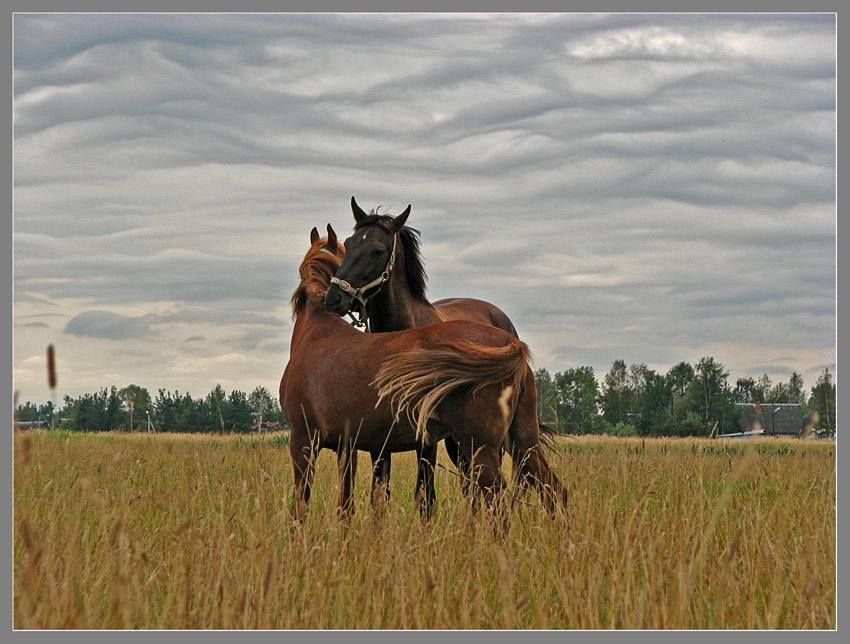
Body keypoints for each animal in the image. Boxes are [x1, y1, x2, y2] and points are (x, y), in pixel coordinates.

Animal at [280, 225, 566, 522]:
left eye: (375, 251)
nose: (338, 298)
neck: (318, 329)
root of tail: (510, 342)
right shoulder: (349, 447)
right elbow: (348, 505)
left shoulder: (303, 442)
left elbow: (301, 506)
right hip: (521, 440)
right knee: (552, 489)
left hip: (480, 447)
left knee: (495, 501)